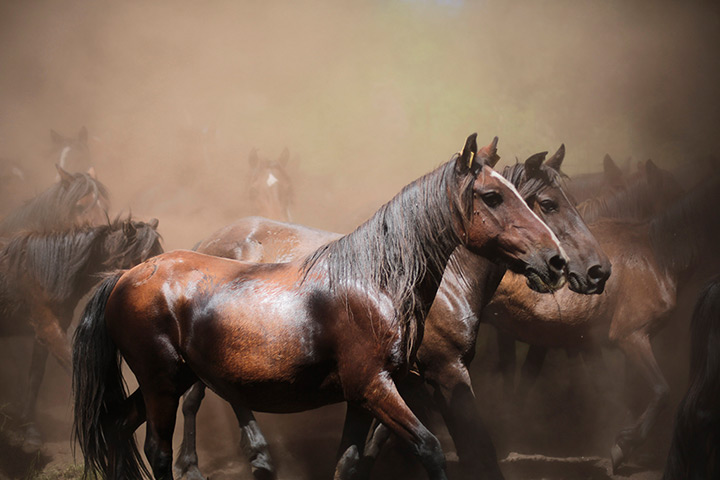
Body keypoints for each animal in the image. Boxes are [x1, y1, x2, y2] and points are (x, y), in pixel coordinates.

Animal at [0, 217, 162, 449]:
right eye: (144, 260)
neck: (47, 270)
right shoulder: (48, 328)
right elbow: (70, 364)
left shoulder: (45, 333)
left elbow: (35, 378)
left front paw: (30, 431)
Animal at [72, 134, 568, 480]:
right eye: (493, 196)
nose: (557, 260)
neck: (375, 283)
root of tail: (125, 276)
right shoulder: (377, 386)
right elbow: (432, 448)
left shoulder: (365, 395)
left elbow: (349, 462)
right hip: (160, 383)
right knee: (157, 451)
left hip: (166, 381)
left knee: (119, 428)